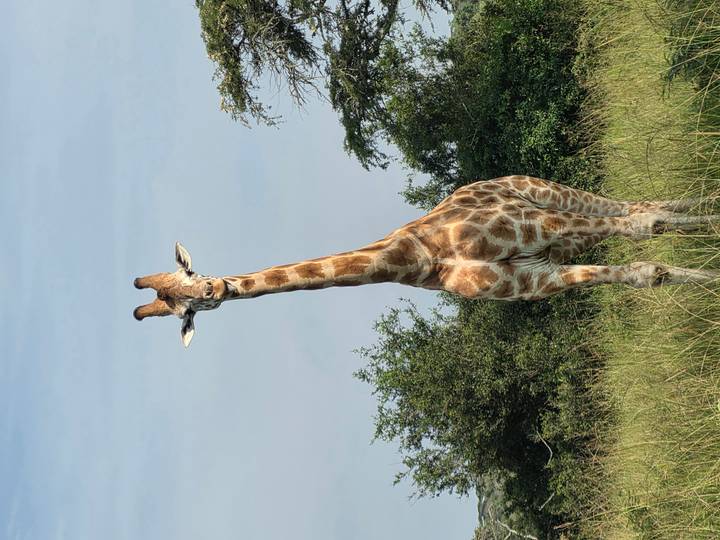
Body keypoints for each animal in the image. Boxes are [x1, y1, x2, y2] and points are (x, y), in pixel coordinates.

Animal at [134, 175, 720, 346]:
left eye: (191, 275)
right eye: (181, 310)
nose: (215, 291)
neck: (418, 258)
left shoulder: (542, 233)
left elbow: (649, 236)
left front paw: (712, 283)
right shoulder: (537, 278)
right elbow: (646, 272)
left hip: (547, 203)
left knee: (642, 214)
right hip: (560, 231)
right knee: (641, 207)